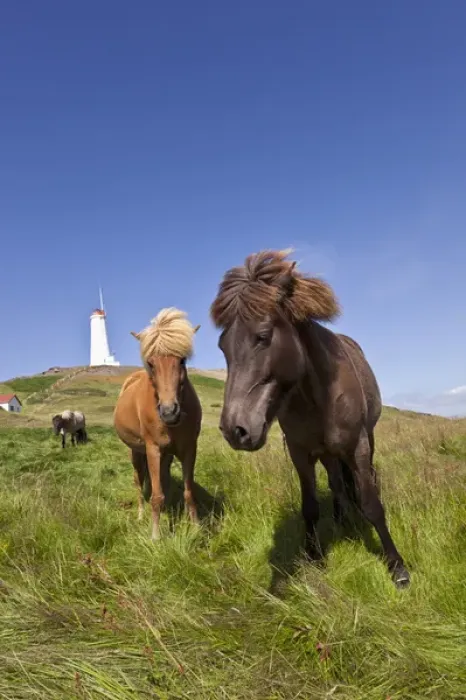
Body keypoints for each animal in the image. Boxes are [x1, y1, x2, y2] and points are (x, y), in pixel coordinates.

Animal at [113, 308, 202, 540]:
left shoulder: (189, 449)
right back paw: (140, 514)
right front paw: (155, 536)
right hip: (137, 453)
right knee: (139, 481)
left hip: (166, 455)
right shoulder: (152, 450)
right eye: (151, 364)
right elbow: (155, 495)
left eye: (182, 360)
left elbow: (188, 492)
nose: (170, 412)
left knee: (164, 480)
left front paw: (196, 528)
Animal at [210, 249, 410, 588]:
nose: (235, 430)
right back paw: (342, 519)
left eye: (263, 336)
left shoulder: (356, 446)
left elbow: (371, 503)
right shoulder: (300, 453)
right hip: (327, 453)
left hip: (366, 439)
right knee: (337, 483)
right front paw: (314, 555)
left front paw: (397, 567)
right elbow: (310, 507)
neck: (318, 398)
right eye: (222, 345)